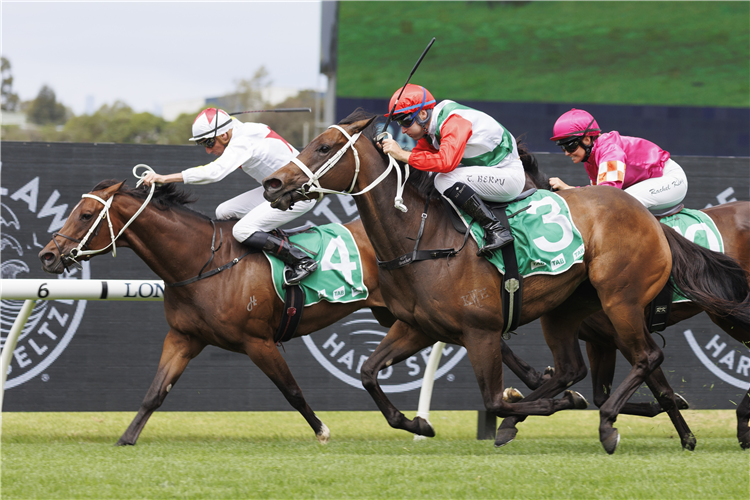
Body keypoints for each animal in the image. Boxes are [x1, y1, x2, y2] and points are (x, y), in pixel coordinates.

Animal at [36, 180, 552, 446]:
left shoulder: (258, 341)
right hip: (402, 316)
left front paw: (323, 431)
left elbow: (292, 391)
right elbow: (154, 393)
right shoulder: (183, 337)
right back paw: (537, 382)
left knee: (482, 336)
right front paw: (126, 439)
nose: (47, 256)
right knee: (487, 338)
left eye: (86, 215)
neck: (200, 262)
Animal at [260, 111, 750, 456]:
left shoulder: (481, 332)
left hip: (623, 302)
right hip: (568, 312)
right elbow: (367, 373)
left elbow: (496, 400)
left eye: (324, 146)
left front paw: (550, 406)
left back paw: (608, 423)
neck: (424, 240)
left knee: (647, 356)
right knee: (578, 367)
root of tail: (649, 220)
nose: (273, 183)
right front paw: (418, 423)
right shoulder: (417, 327)